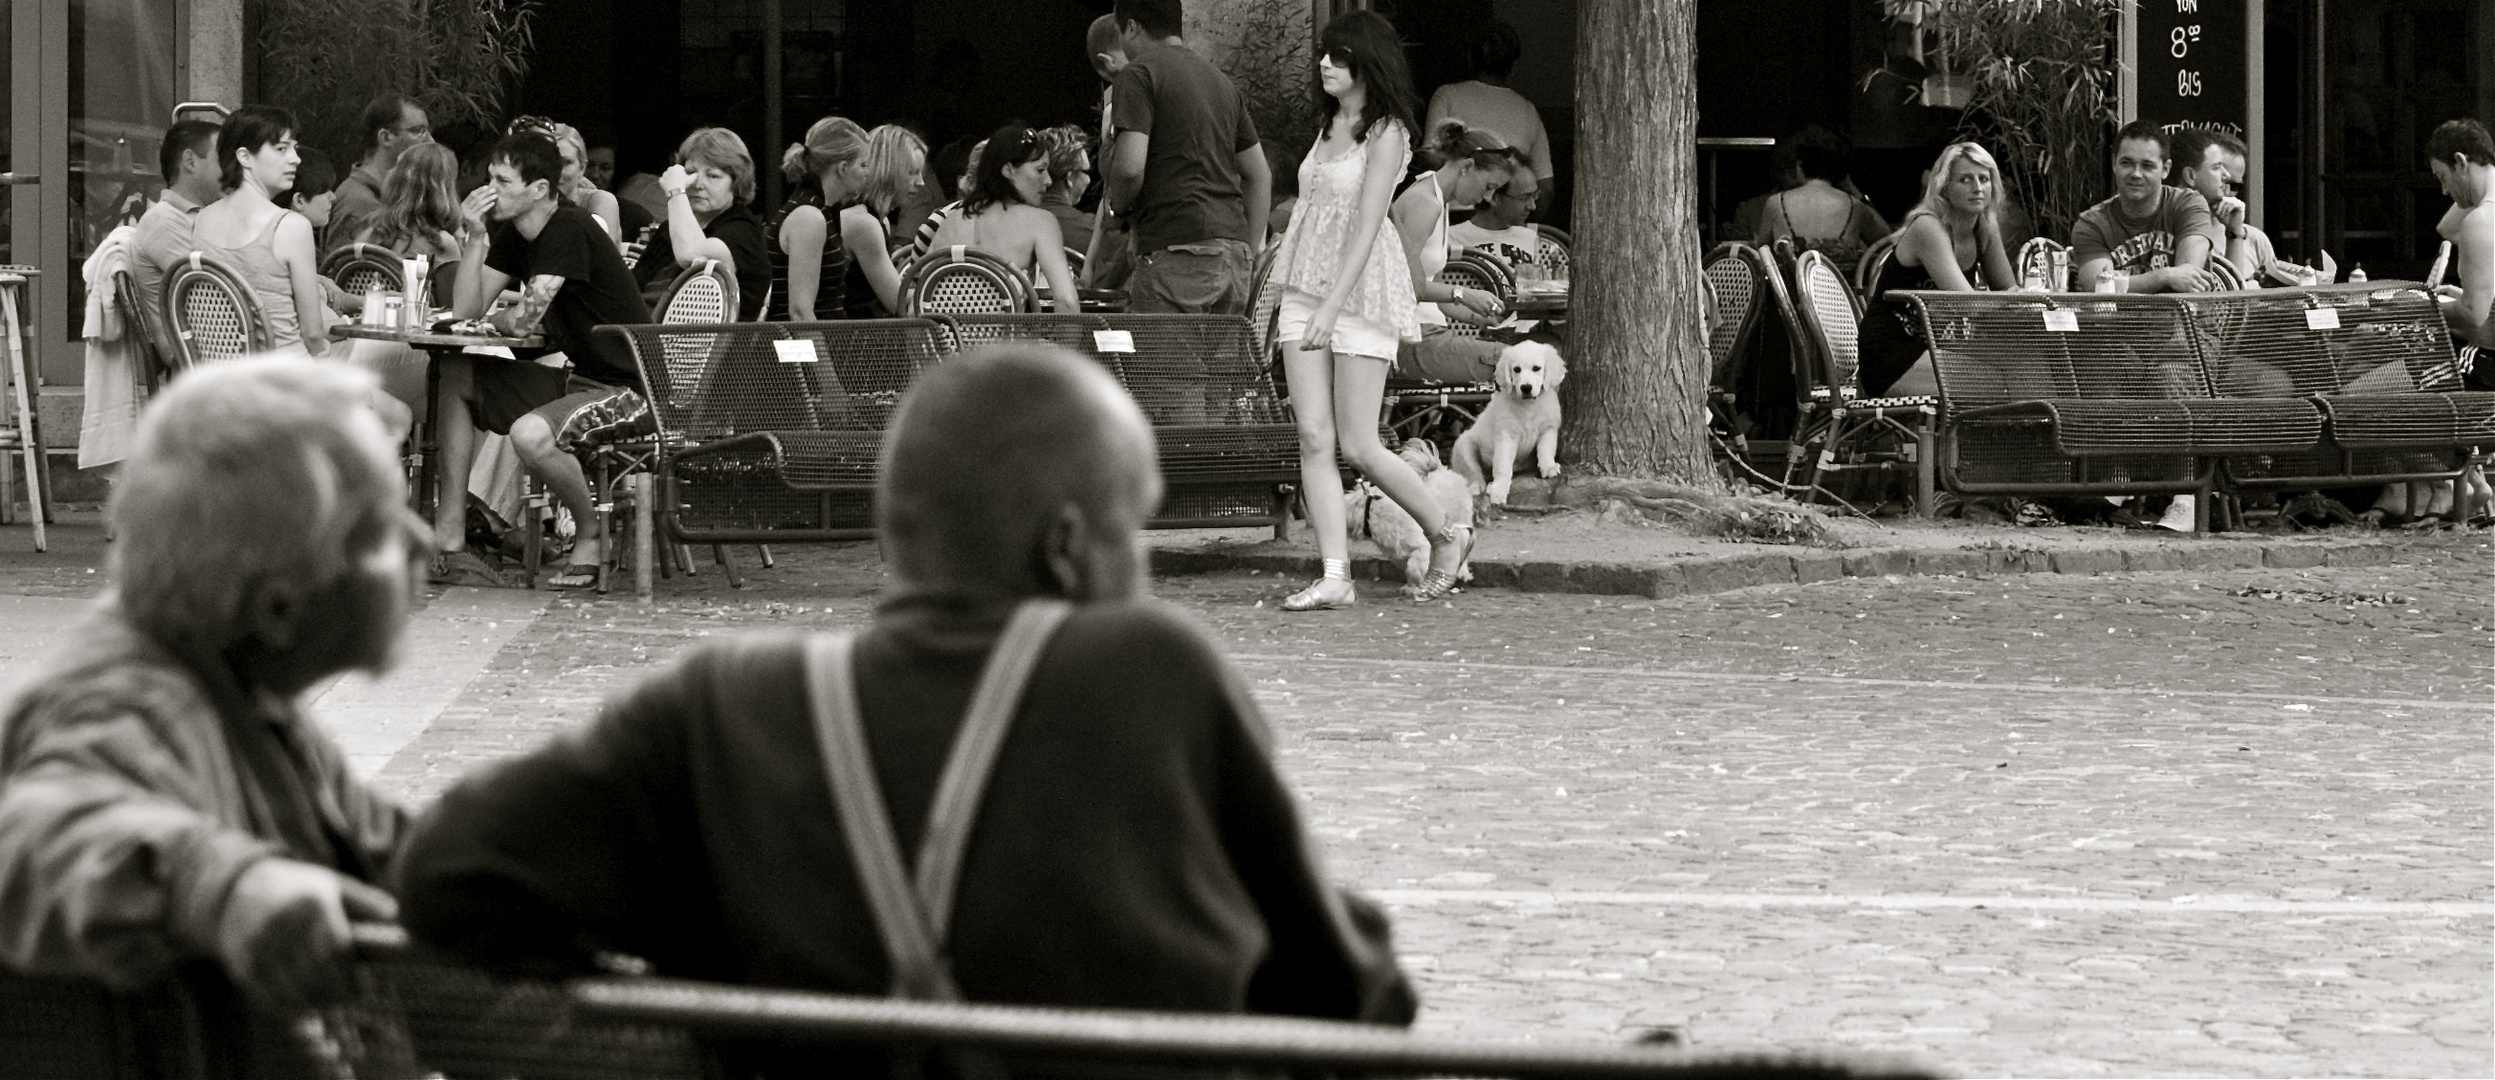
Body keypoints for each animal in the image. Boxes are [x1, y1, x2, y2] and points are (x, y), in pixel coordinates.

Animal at [1447, 341, 1556, 503]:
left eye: (1537, 368)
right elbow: (1503, 465)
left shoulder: (1549, 428)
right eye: (1516, 369)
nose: (1526, 388)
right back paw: (1477, 486)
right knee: (1472, 471)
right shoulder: (1506, 436)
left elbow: (1546, 448)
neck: (1528, 405)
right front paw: (1498, 491)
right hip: (1464, 445)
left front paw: (1549, 467)